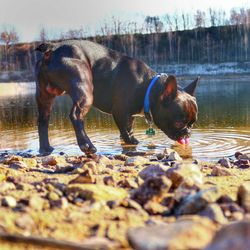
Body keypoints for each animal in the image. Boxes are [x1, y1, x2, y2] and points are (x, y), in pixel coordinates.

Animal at [35, 39, 199, 154]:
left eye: (192, 123)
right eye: (179, 122)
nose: (188, 132)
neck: (148, 87)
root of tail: (54, 47)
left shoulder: (130, 115)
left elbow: (128, 128)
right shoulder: (120, 112)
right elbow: (125, 131)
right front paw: (133, 142)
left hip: (44, 96)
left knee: (43, 120)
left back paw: (45, 149)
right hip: (85, 89)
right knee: (76, 115)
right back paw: (87, 145)